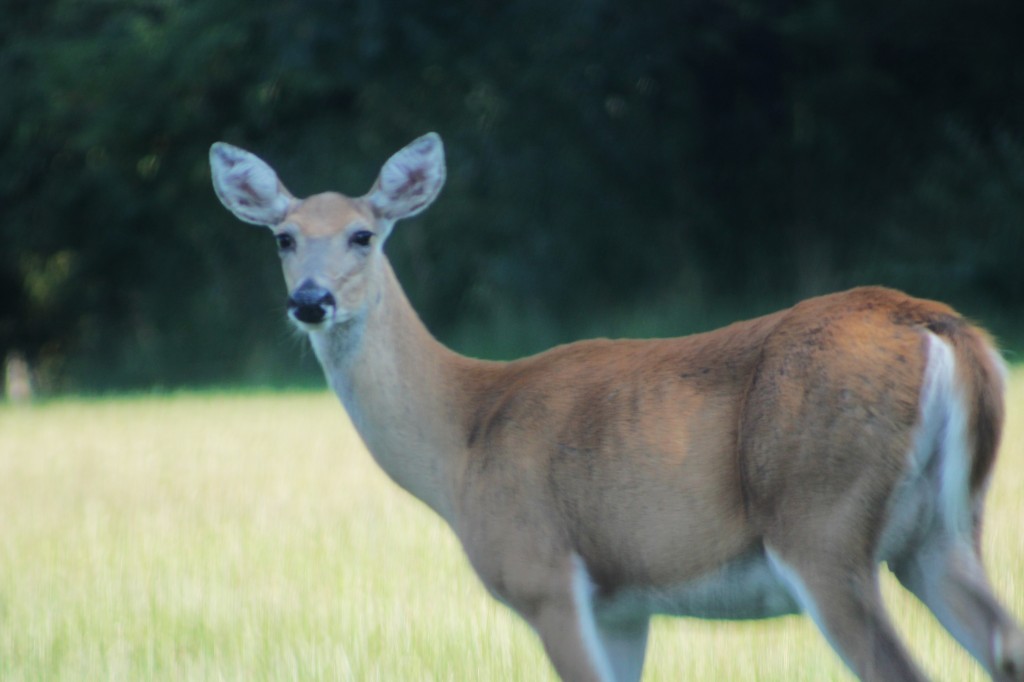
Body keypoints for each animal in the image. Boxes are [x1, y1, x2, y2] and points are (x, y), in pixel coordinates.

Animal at [209, 132, 1024, 682]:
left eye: (363, 234)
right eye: (283, 237)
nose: (310, 301)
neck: (463, 436)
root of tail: (942, 329)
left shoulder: (544, 575)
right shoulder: (624, 604)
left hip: (821, 523)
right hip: (942, 531)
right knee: (1003, 642)